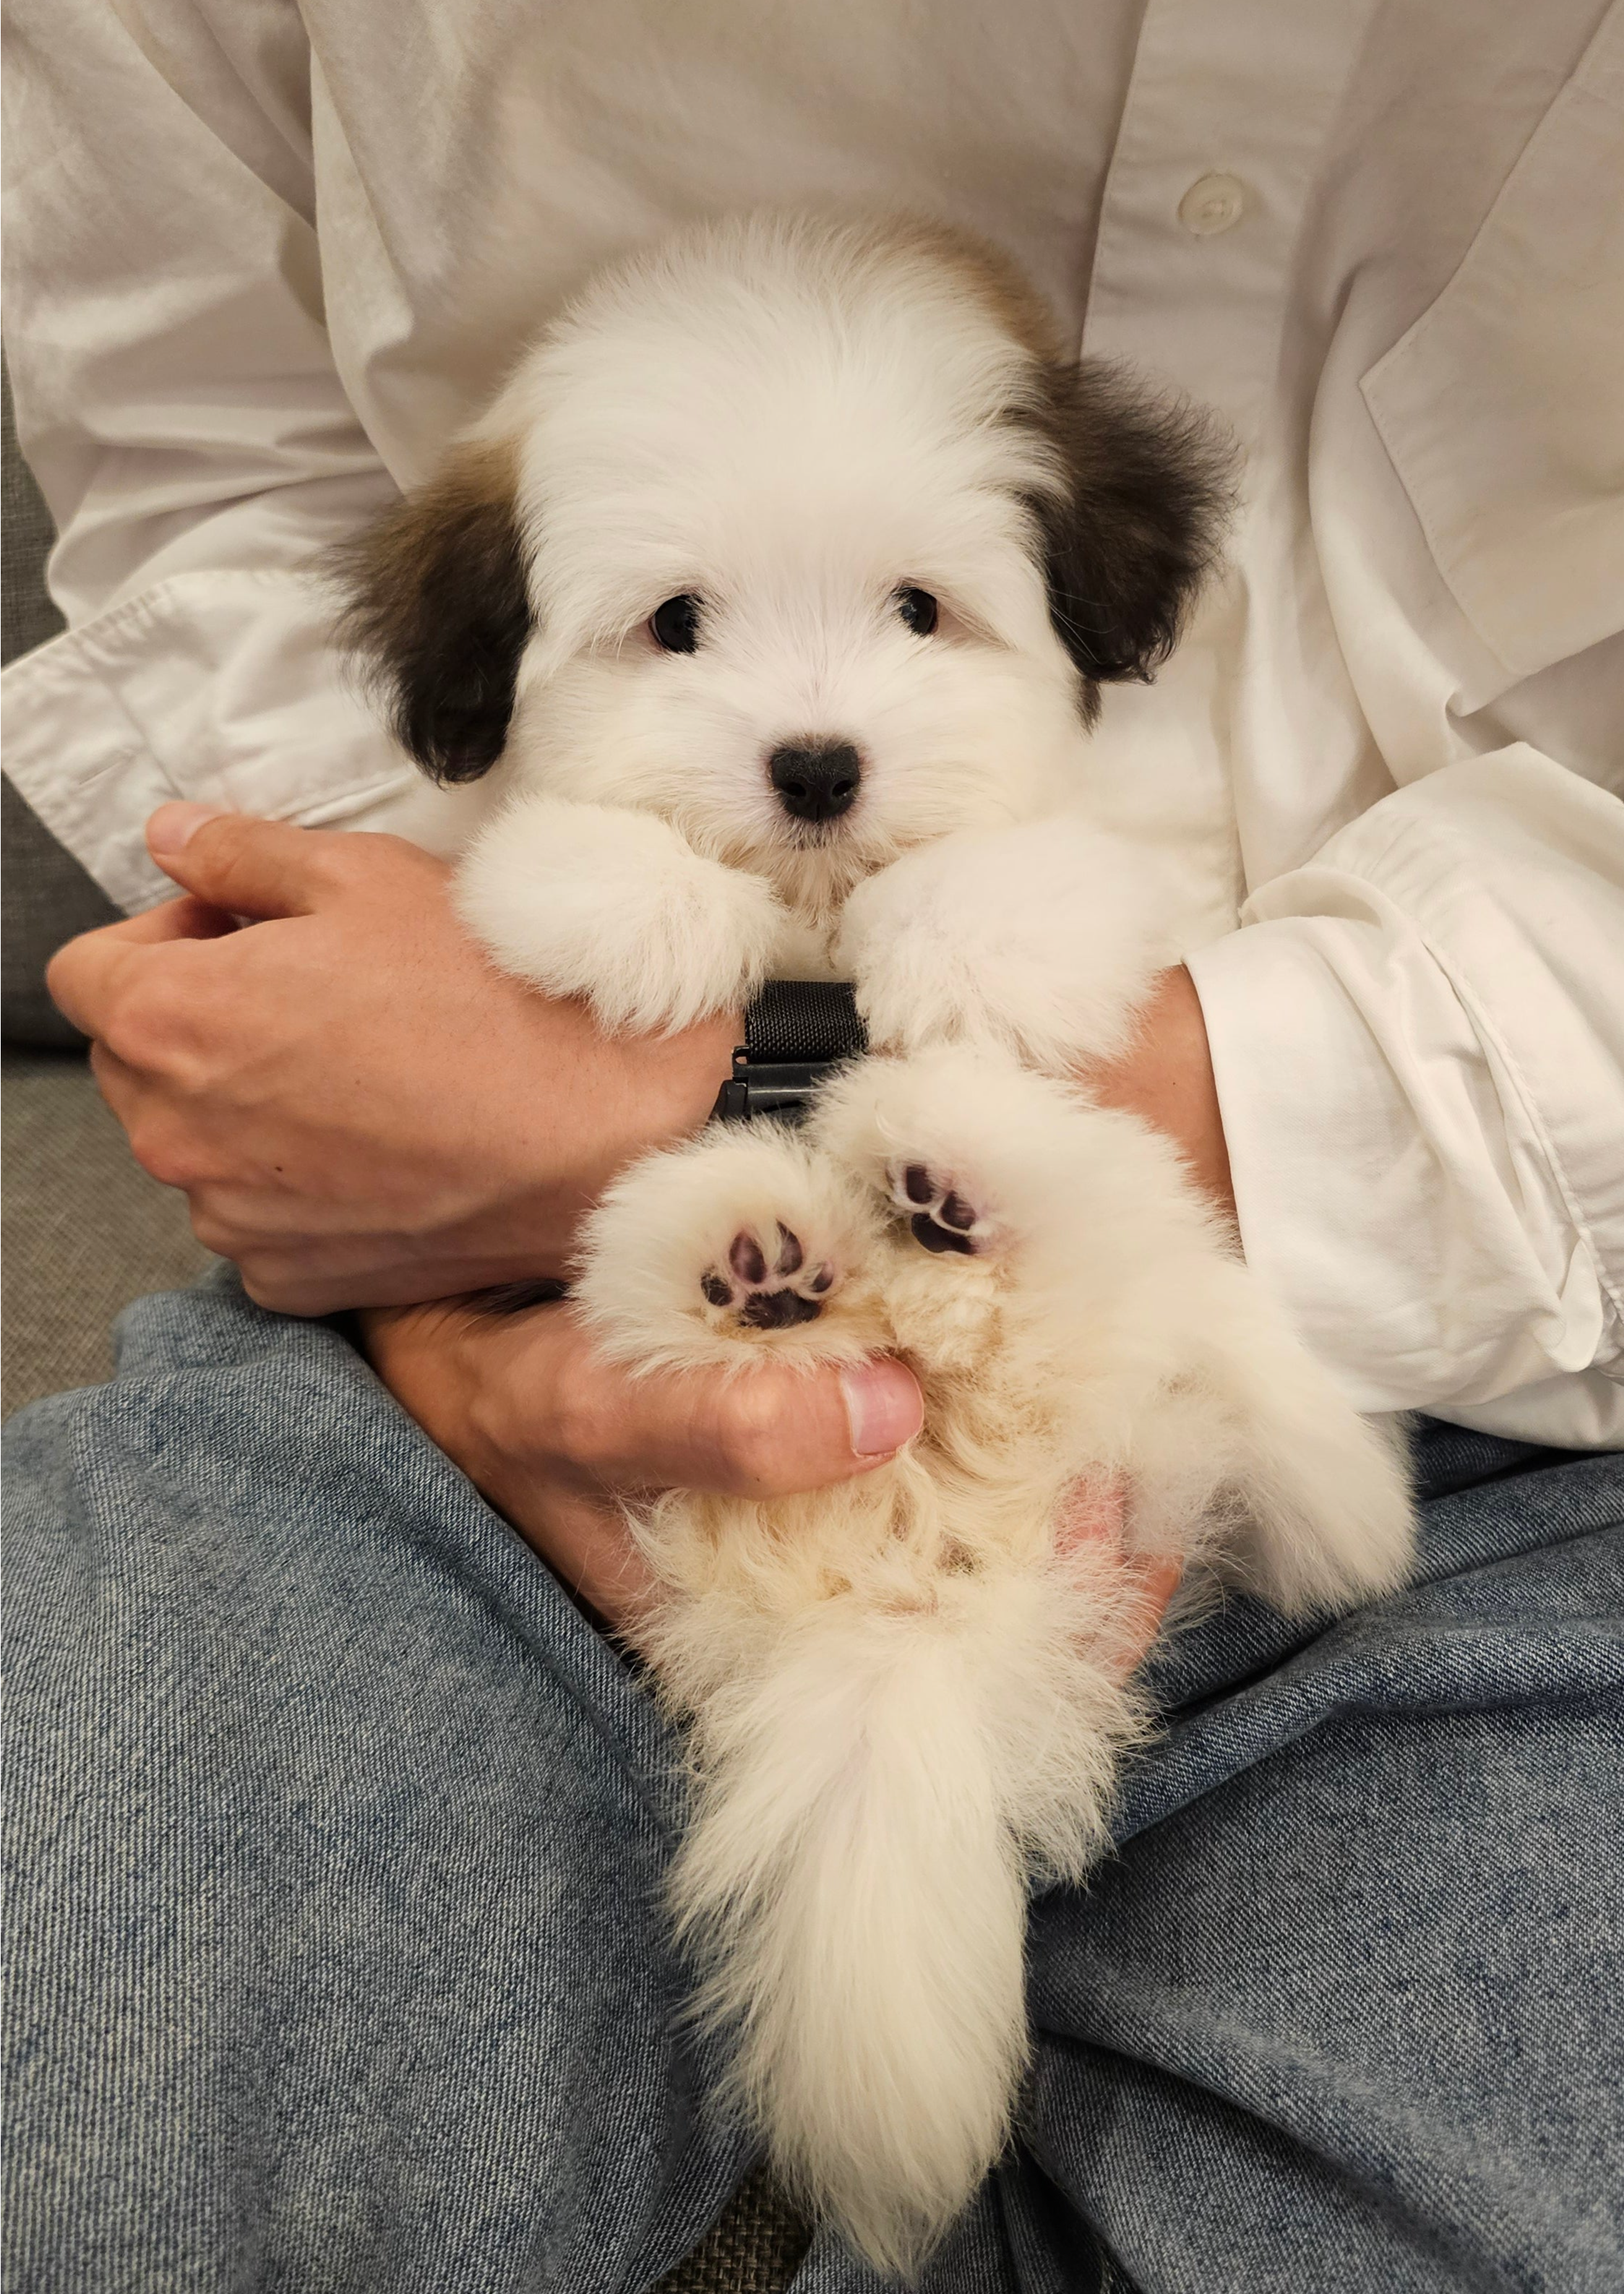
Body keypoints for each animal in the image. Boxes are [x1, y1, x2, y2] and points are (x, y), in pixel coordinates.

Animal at [337, 211, 1413, 2275]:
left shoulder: (1112, 871)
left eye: (921, 610)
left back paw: (973, 1219)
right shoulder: (492, 839)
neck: (819, 928)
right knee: (674, 1281)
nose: (818, 765)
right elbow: (537, 858)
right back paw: (769, 1258)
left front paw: (958, 941)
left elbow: (1047, 889)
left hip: (1153, 1292)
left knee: (1135, 1281)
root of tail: (913, 1587)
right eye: (676, 625)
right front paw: (649, 908)